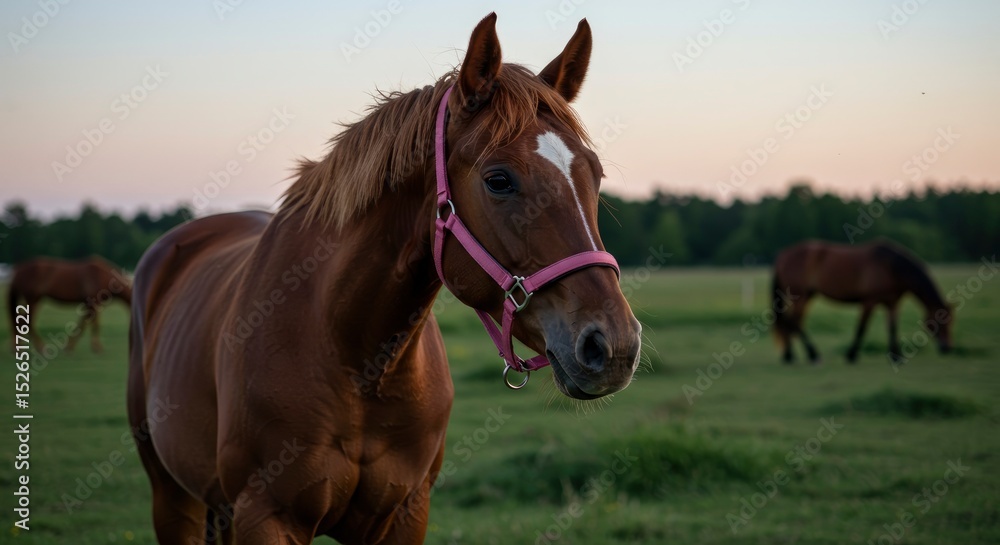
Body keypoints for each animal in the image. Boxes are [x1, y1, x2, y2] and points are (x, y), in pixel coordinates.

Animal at [128, 14, 641, 544]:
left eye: (595, 173)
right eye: (498, 180)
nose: (614, 346)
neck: (352, 355)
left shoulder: (404, 513)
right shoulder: (265, 516)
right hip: (172, 497)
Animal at [771, 239, 953, 364]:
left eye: (952, 322)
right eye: (938, 322)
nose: (947, 348)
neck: (890, 267)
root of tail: (782, 256)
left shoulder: (892, 304)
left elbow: (892, 328)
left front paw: (896, 356)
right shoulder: (869, 302)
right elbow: (861, 328)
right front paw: (851, 355)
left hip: (807, 296)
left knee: (792, 323)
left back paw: (790, 356)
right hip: (800, 297)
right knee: (793, 322)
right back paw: (812, 355)